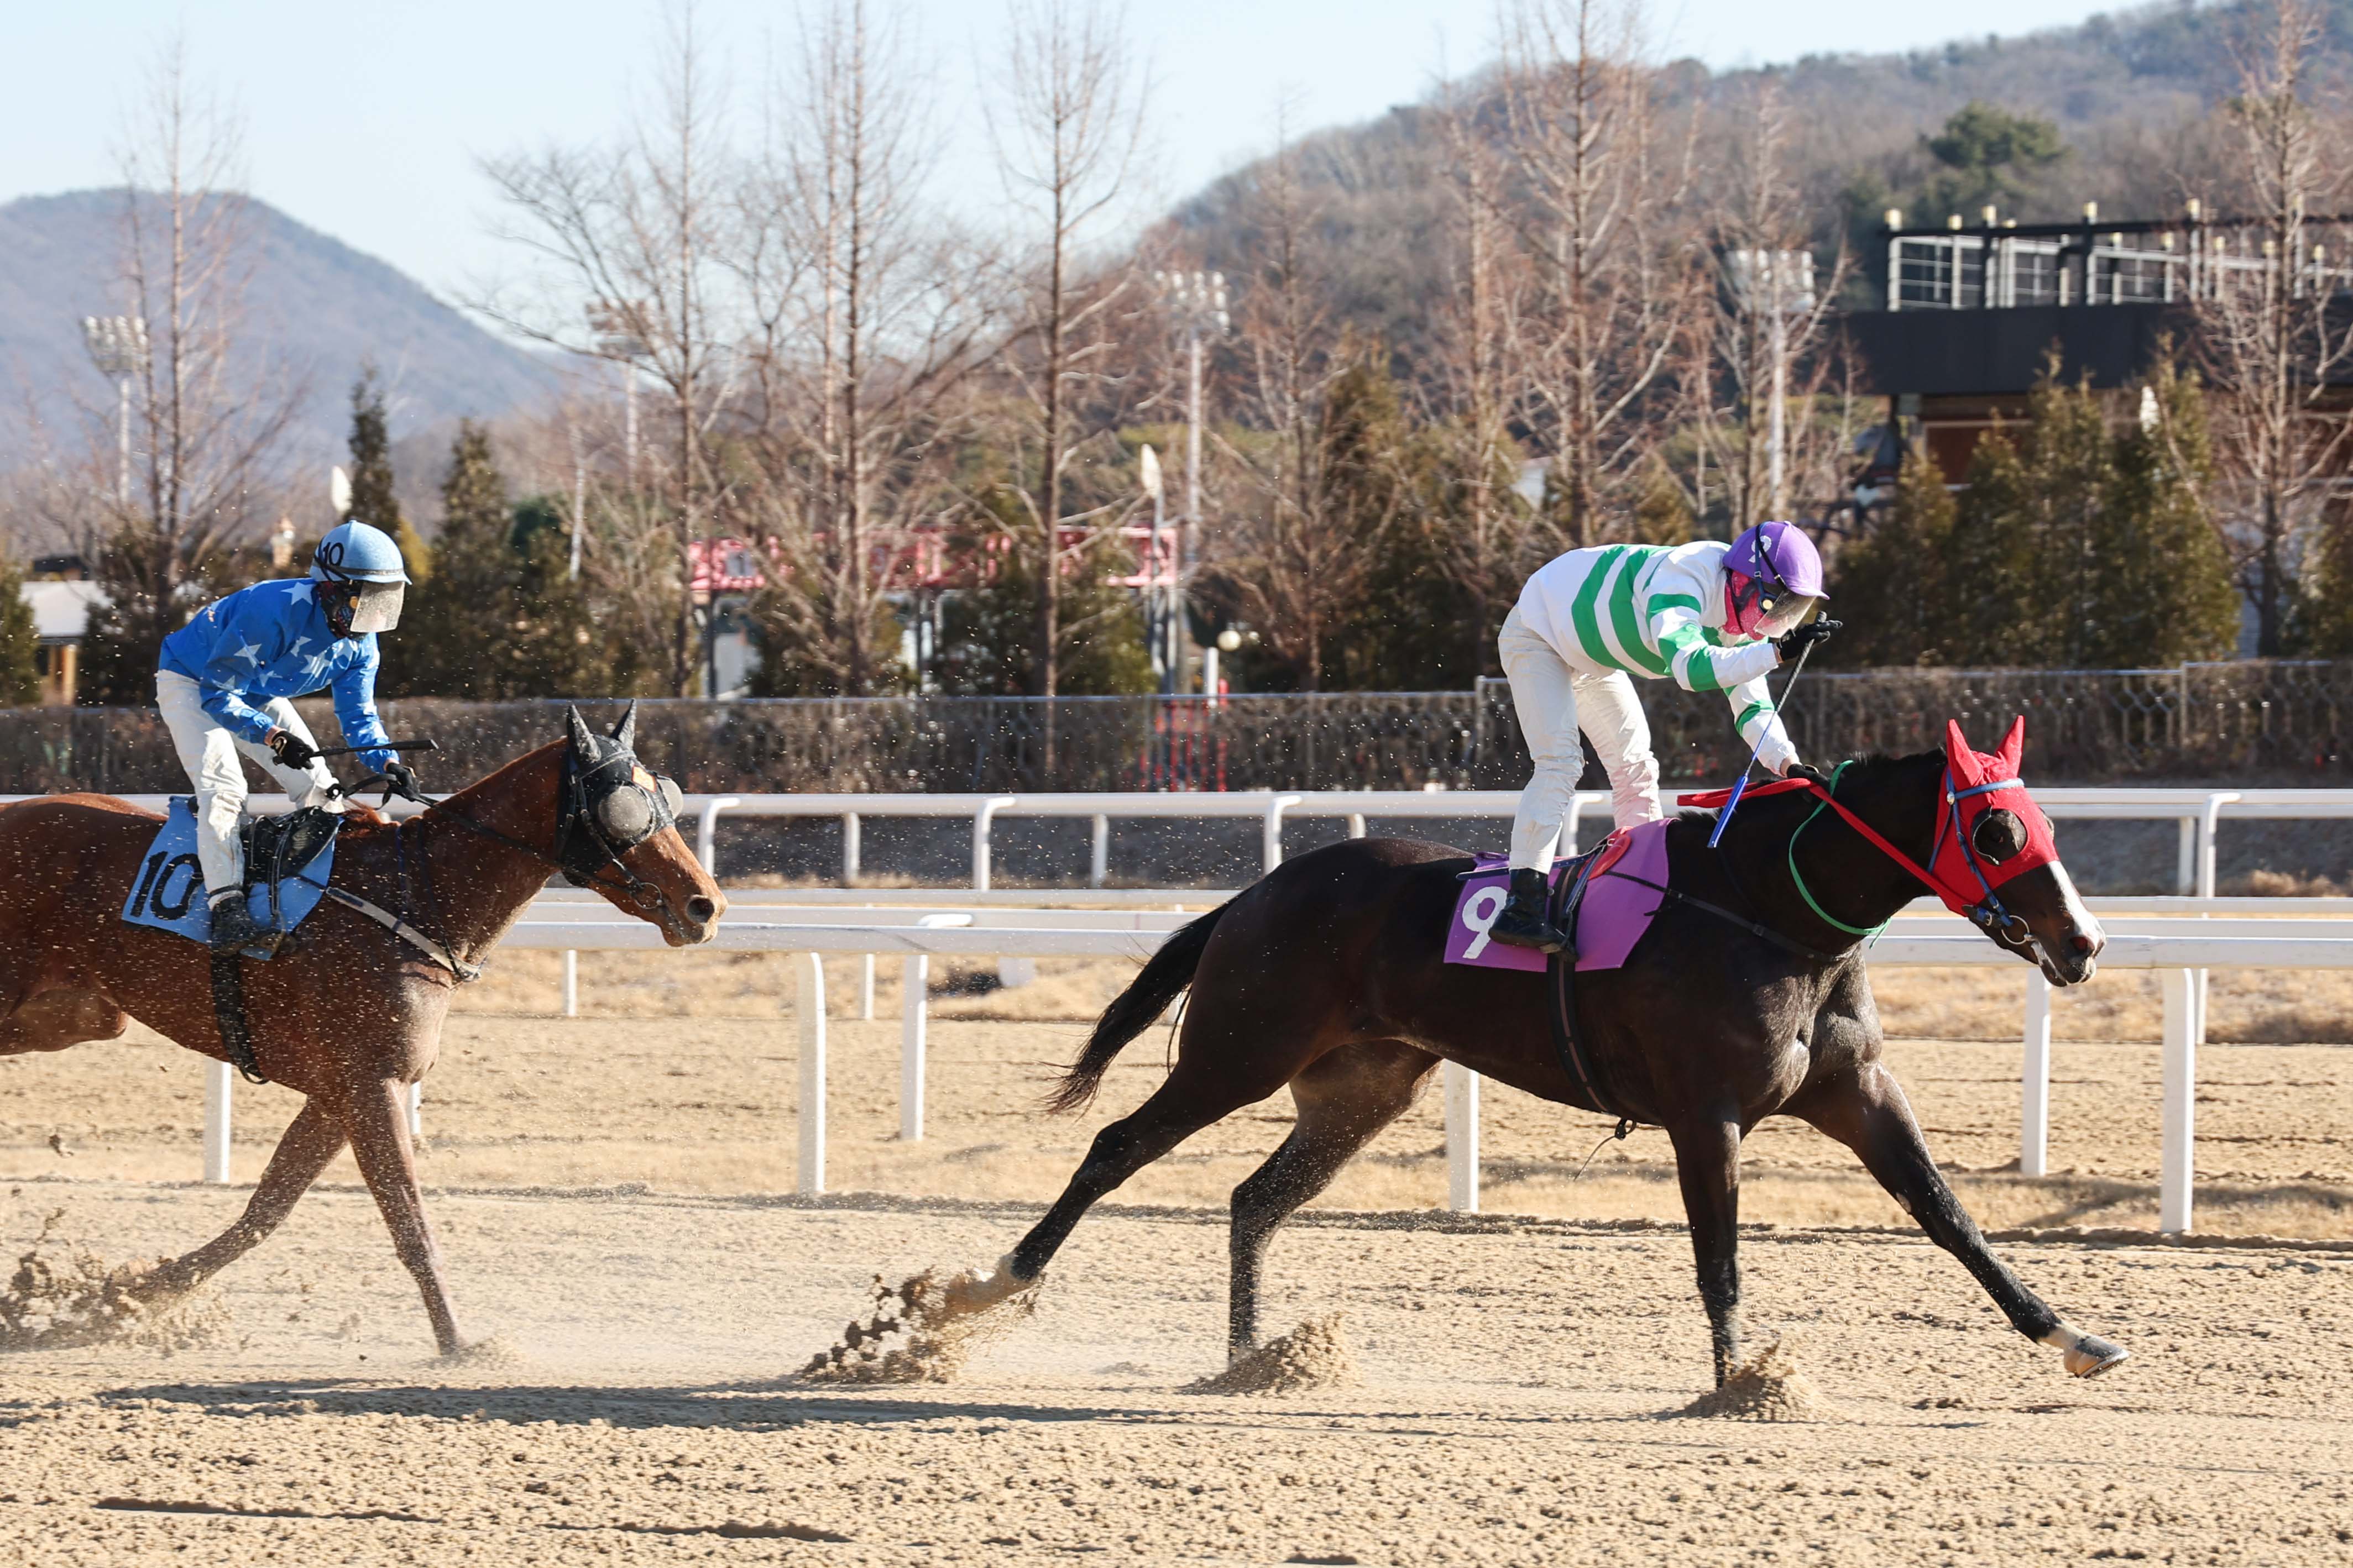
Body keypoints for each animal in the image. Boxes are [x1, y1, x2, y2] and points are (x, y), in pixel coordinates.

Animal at [0, 705, 720, 1354]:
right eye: (625, 804)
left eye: (667, 795)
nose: (706, 904)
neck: (417, 897)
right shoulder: (372, 1081)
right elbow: (409, 1219)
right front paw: (458, 1340)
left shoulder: (337, 1092)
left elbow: (266, 1209)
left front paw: (128, 1293)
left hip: (81, 1015)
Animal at [941, 719, 2136, 1382]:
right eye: (1994, 830)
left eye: (2044, 823)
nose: (2083, 941)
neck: (1768, 909)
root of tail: (1254, 893)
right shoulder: (1705, 1114)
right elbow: (1719, 1256)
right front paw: (1738, 1383)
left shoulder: (1855, 1091)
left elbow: (1948, 1213)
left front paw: (2071, 1335)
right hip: (1236, 1052)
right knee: (1115, 1145)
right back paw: (986, 1288)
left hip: (1360, 1088)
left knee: (1253, 1197)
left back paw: (1255, 1362)